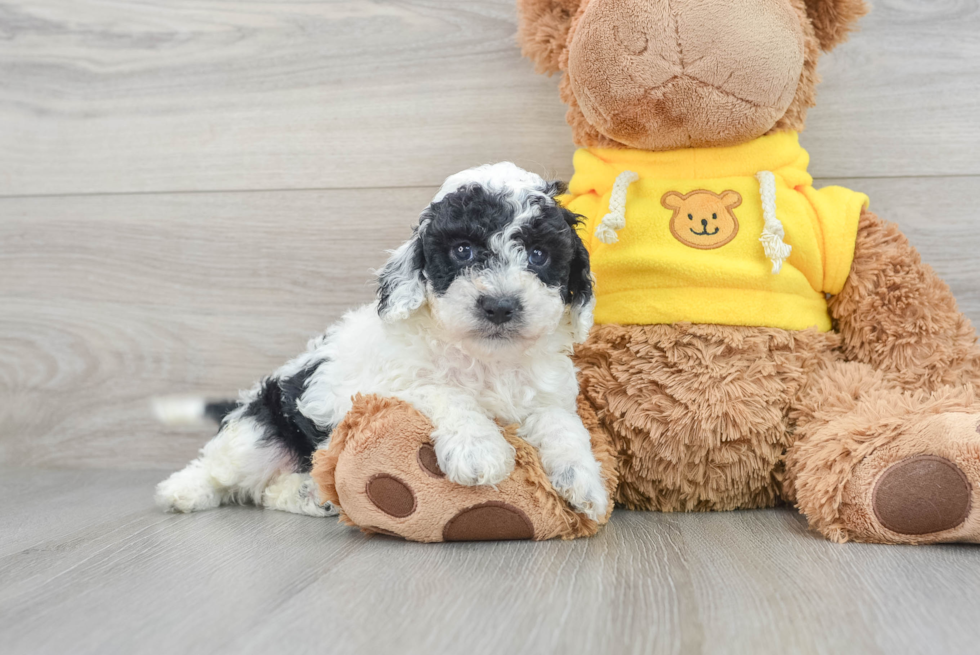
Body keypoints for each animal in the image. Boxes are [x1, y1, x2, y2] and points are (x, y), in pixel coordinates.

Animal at [156, 164, 608, 524]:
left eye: (538, 255)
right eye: (462, 251)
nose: (499, 305)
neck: (487, 358)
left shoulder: (547, 395)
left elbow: (563, 424)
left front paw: (585, 481)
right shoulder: (387, 387)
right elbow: (446, 392)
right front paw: (479, 450)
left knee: (267, 491)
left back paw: (311, 496)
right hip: (261, 431)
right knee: (223, 468)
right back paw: (181, 492)